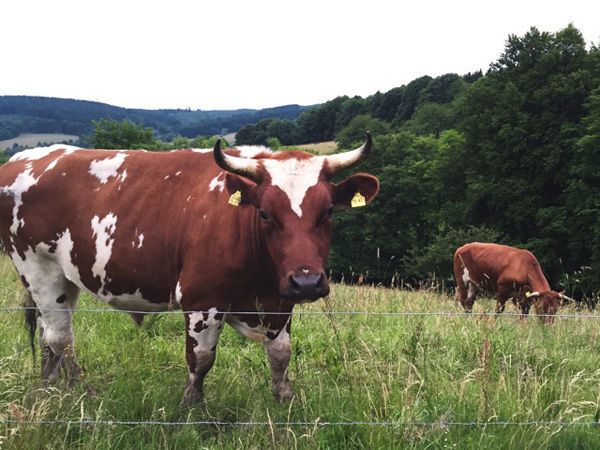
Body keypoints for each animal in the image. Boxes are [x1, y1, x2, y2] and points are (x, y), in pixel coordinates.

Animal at [0, 134, 380, 404]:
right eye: (265, 213)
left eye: (328, 211)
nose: (307, 282)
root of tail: (24, 158)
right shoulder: (203, 300)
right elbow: (200, 360)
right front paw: (192, 412)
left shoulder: (280, 301)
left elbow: (280, 356)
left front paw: (285, 403)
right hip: (39, 269)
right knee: (60, 338)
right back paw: (81, 392)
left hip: (66, 278)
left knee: (49, 337)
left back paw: (51, 390)